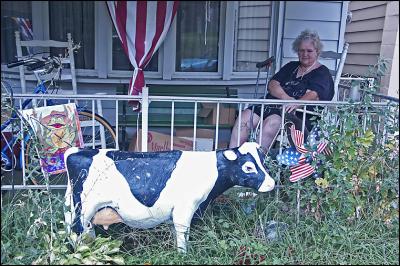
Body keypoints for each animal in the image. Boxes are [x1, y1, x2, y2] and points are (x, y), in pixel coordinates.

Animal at [64, 141, 276, 251]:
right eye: (248, 167)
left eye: (263, 162)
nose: (271, 183)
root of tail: (76, 151)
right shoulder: (185, 208)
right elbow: (183, 233)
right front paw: (183, 254)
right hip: (82, 208)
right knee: (77, 231)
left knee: (84, 231)